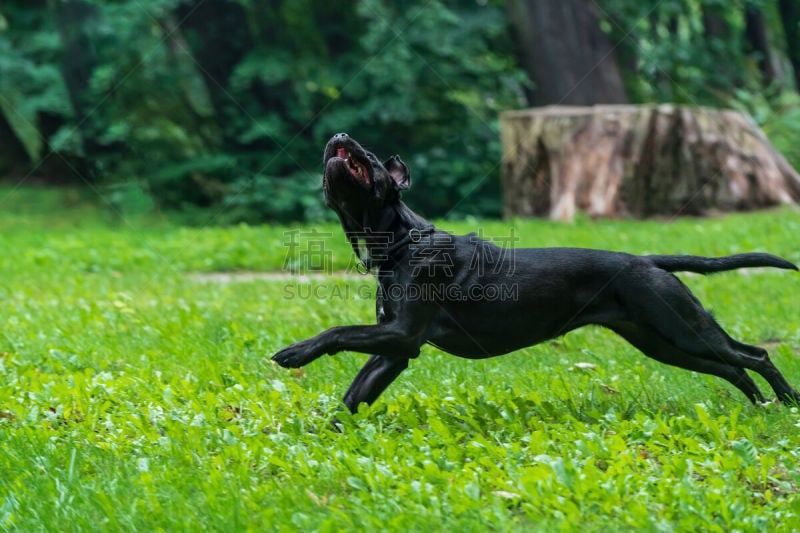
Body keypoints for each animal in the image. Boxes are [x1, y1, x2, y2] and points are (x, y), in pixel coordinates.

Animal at [272, 132, 796, 412]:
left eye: (368, 155)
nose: (339, 136)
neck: (400, 244)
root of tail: (648, 261)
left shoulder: (402, 336)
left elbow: (338, 331)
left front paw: (296, 352)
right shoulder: (394, 352)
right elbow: (351, 398)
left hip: (682, 329)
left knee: (753, 355)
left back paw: (787, 401)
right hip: (662, 341)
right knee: (732, 366)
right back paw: (761, 403)